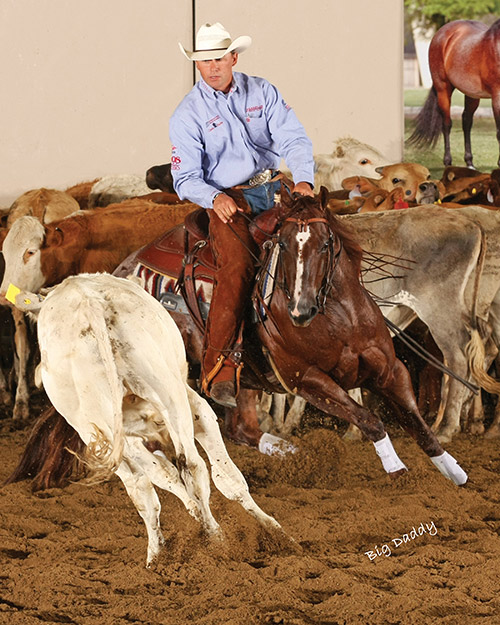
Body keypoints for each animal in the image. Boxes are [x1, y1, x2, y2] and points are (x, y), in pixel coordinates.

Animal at [10, 273, 279, 567]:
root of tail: (88, 304)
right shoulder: (197, 408)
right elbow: (224, 477)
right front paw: (274, 531)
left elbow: (163, 478)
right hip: (170, 397)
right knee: (189, 467)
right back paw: (215, 538)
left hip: (100, 425)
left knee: (145, 487)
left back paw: (160, 552)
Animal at [407, 18, 500, 168]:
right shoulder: (497, 97)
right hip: (443, 89)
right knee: (446, 124)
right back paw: (448, 163)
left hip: (472, 95)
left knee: (466, 121)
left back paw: (469, 163)